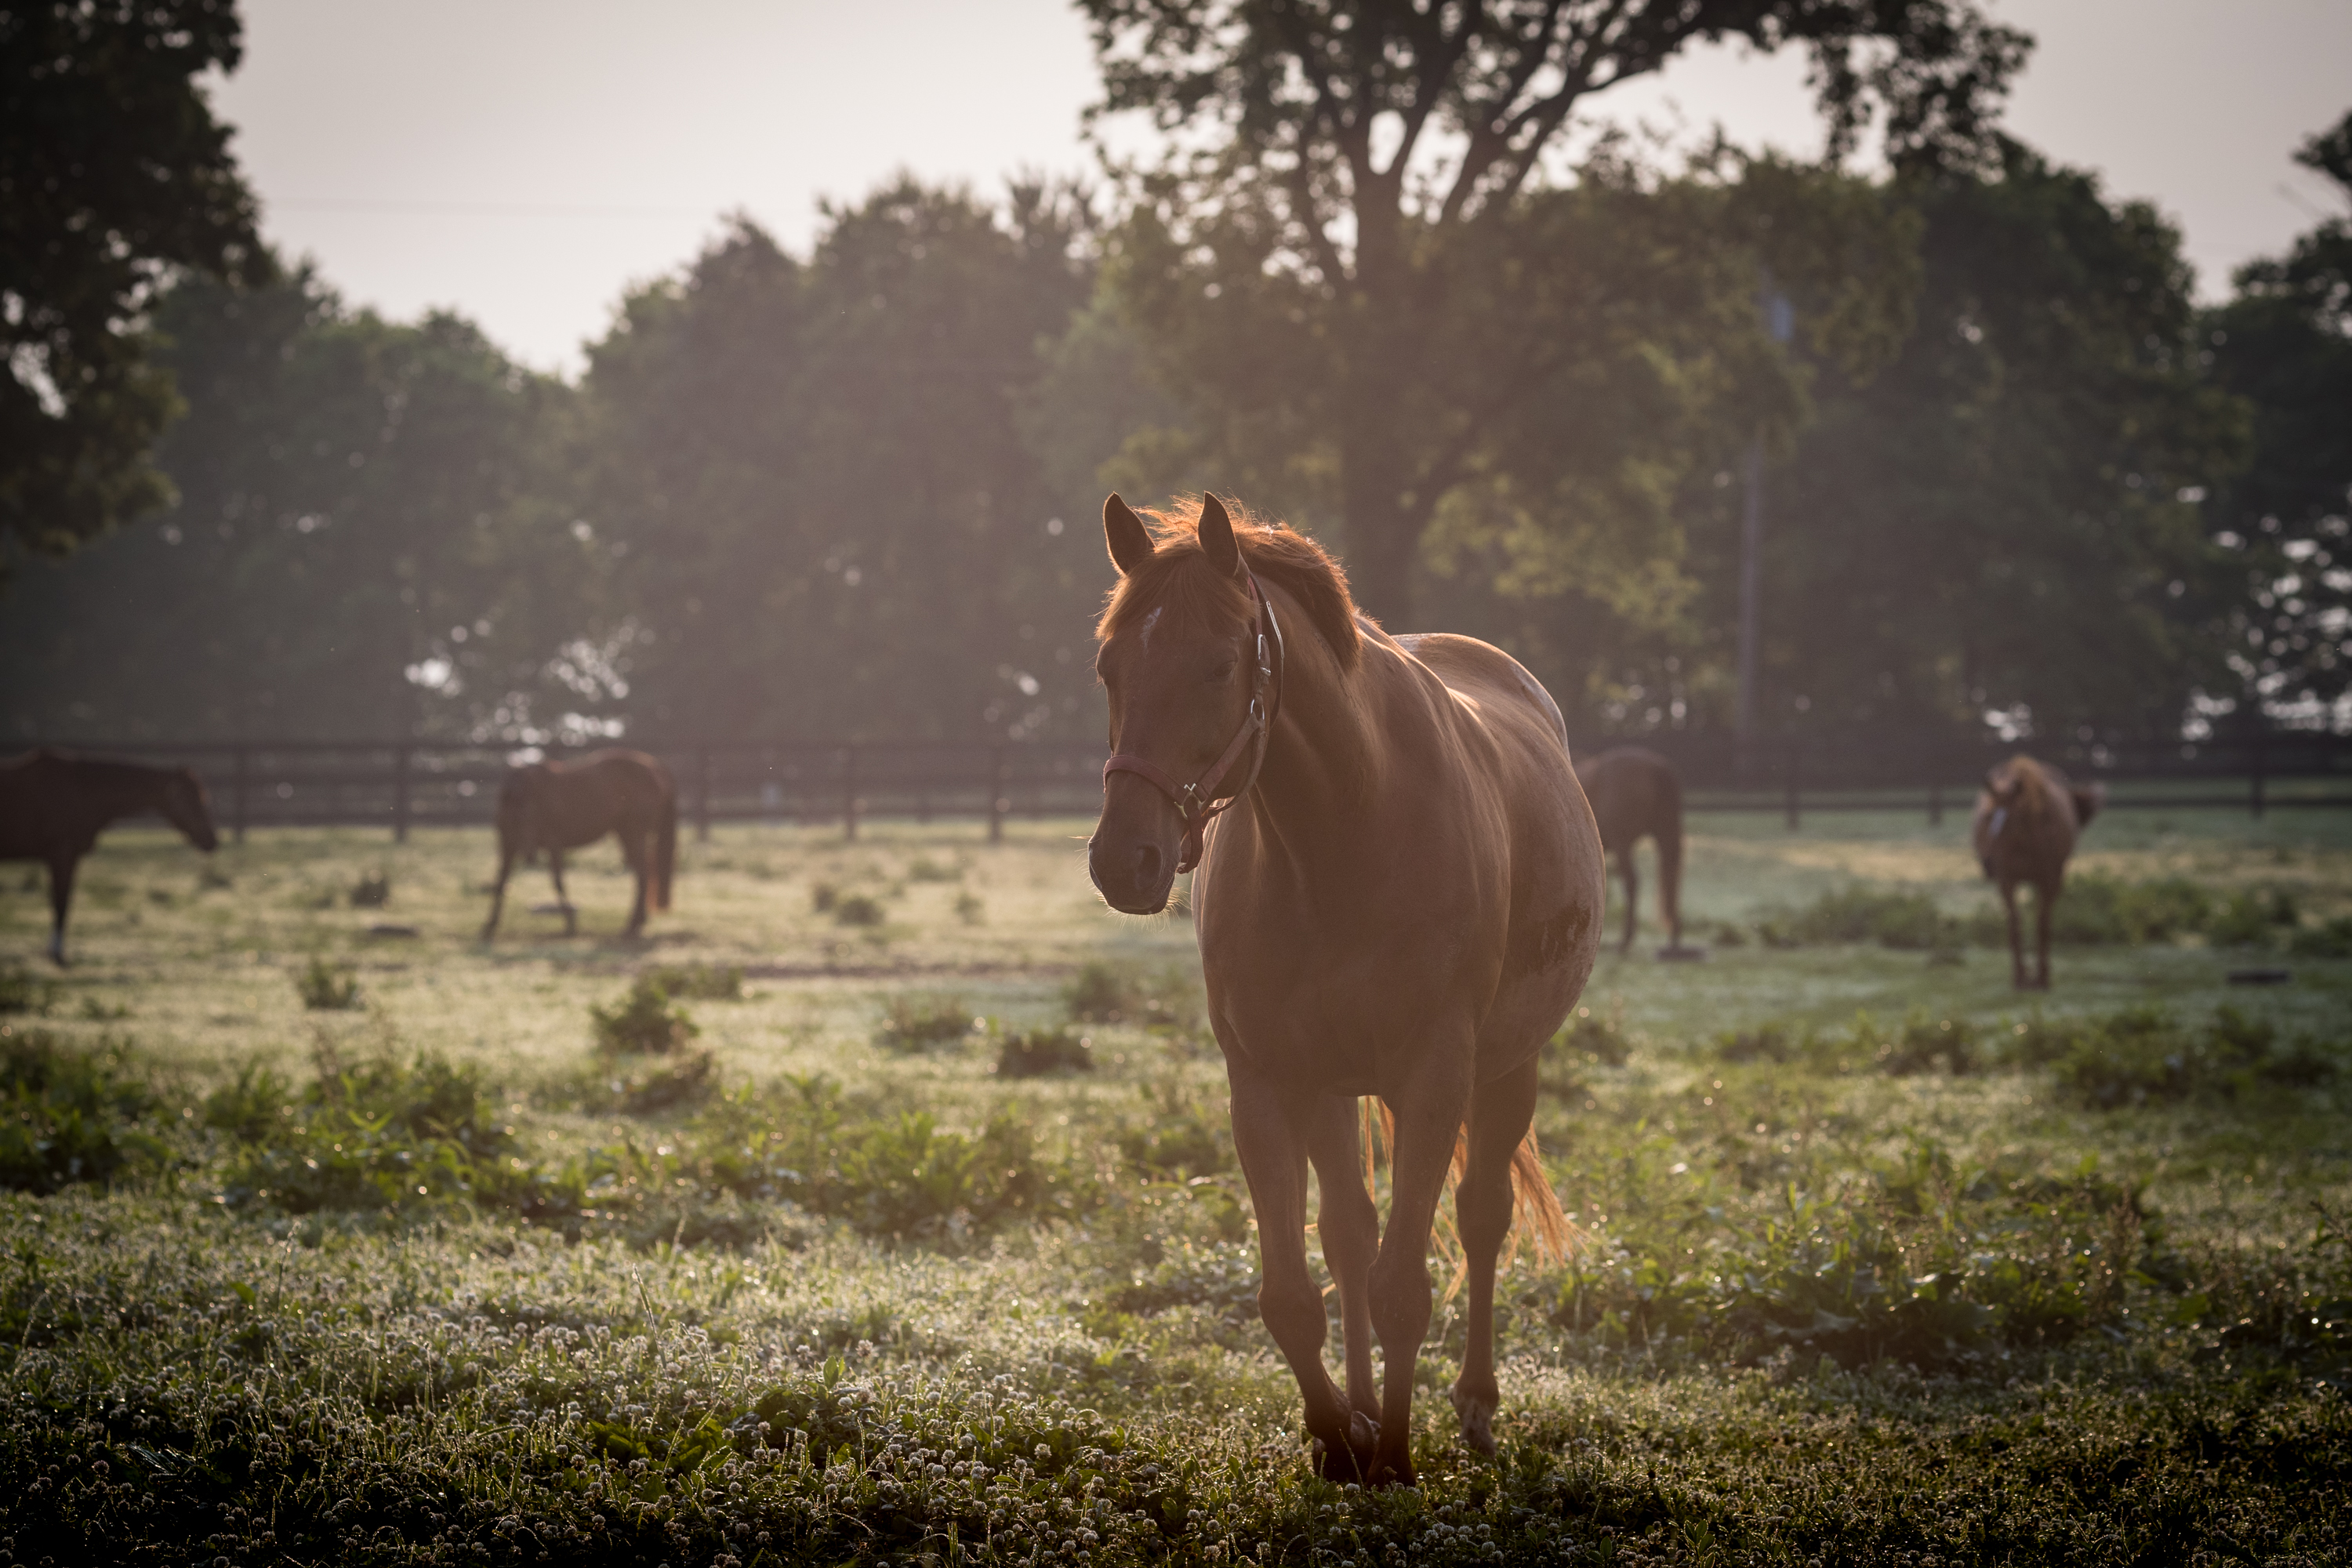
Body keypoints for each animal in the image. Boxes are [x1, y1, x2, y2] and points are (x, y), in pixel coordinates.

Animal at [0, 748, 220, 965]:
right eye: (191, 800)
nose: (212, 840)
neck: (81, 791)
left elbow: (61, 901)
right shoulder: (62, 854)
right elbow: (61, 902)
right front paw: (56, 953)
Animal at [480, 749, 677, 940]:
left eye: (534, 813)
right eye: (517, 817)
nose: (530, 856)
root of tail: (657, 768)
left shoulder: (553, 843)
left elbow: (558, 881)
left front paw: (570, 925)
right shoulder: (508, 844)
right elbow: (501, 882)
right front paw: (490, 926)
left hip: (634, 833)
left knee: (643, 874)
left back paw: (633, 925)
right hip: (625, 834)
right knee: (643, 873)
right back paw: (637, 923)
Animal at [1087, 493, 1602, 1486]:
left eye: (1218, 664)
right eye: (1108, 664)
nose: (1124, 859)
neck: (1344, 831)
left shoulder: (1436, 1077)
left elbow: (1404, 1285)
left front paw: (1396, 1454)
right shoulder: (1265, 1083)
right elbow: (1295, 1289)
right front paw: (1336, 1435)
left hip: (1506, 1069)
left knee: (1480, 1219)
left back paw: (1474, 1404)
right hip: (1330, 1086)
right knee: (1350, 1234)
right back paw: (1363, 1410)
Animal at [1573, 746, 1685, 955]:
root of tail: (1656, 767)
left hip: (1622, 844)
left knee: (1632, 882)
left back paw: (1625, 941)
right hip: (1664, 834)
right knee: (1670, 878)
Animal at [1972, 754, 2103, 990]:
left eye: (2012, 819)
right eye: (1988, 816)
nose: (1988, 865)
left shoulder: (2051, 879)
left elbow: (2043, 925)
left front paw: (2042, 978)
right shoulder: (2007, 881)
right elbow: (2015, 926)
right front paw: (2020, 978)